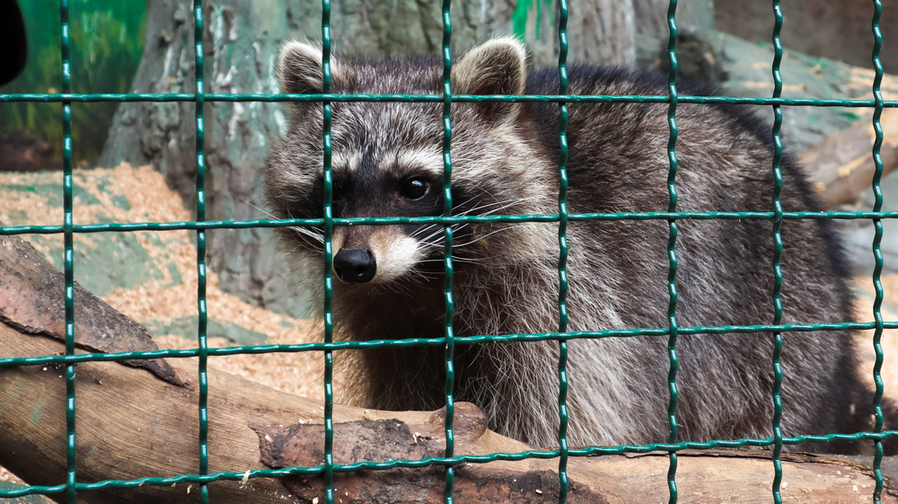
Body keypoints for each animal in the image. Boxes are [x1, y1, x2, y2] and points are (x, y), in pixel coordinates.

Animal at [264, 37, 880, 450]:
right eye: (336, 186)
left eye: (414, 186)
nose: (353, 263)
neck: (423, 275)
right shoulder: (388, 320)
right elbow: (402, 401)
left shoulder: (565, 299)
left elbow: (560, 420)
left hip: (783, 333)